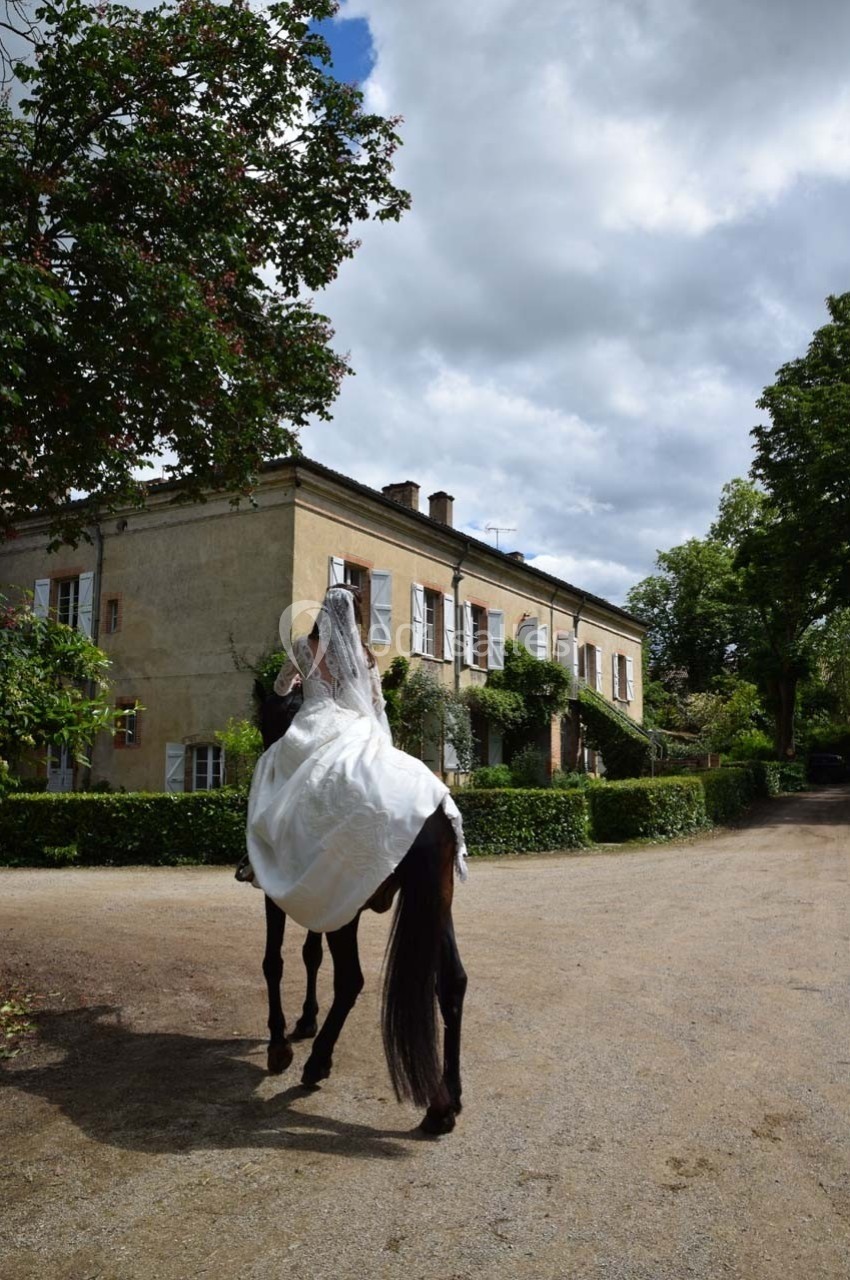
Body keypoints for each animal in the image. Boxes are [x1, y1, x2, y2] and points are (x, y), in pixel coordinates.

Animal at [241, 683, 468, 1135]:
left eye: (266, 726)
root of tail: (430, 812)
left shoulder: (283, 893)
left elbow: (273, 962)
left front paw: (279, 1046)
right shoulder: (320, 896)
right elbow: (310, 954)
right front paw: (305, 1021)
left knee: (351, 979)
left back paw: (318, 1063)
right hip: (436, 903)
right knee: (452, 982)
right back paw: (447, 1099)